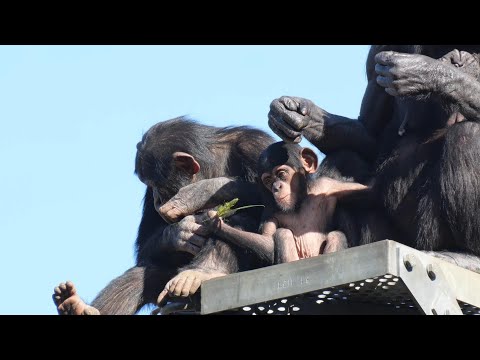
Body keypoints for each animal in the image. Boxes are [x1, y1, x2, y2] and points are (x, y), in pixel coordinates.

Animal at [52, 116, 274, 314]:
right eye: (150, 186)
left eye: (159, 185)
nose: (157, 198)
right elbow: (144, 248)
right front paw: (180, 233)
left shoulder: (255, 145)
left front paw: (201, 192)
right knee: (141, 276)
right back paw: (75, 306)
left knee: (235, 218)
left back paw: (201, 273)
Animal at [165, 141, 364, 264]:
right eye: (268, 180)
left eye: (281, 174)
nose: (276, 187)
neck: (300, 201)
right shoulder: (270, 209)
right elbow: (268, 242)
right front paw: (216, 223)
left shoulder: (330, 185)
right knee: (282, 234)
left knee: (337, 235)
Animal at [268, 45, 480, 268]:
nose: (458, 57)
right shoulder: (376, 55)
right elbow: (371, 132)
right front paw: (297, 114)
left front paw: (425, 71)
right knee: (345, 159)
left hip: (429, 236)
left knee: (468, 135)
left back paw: (466, 255)